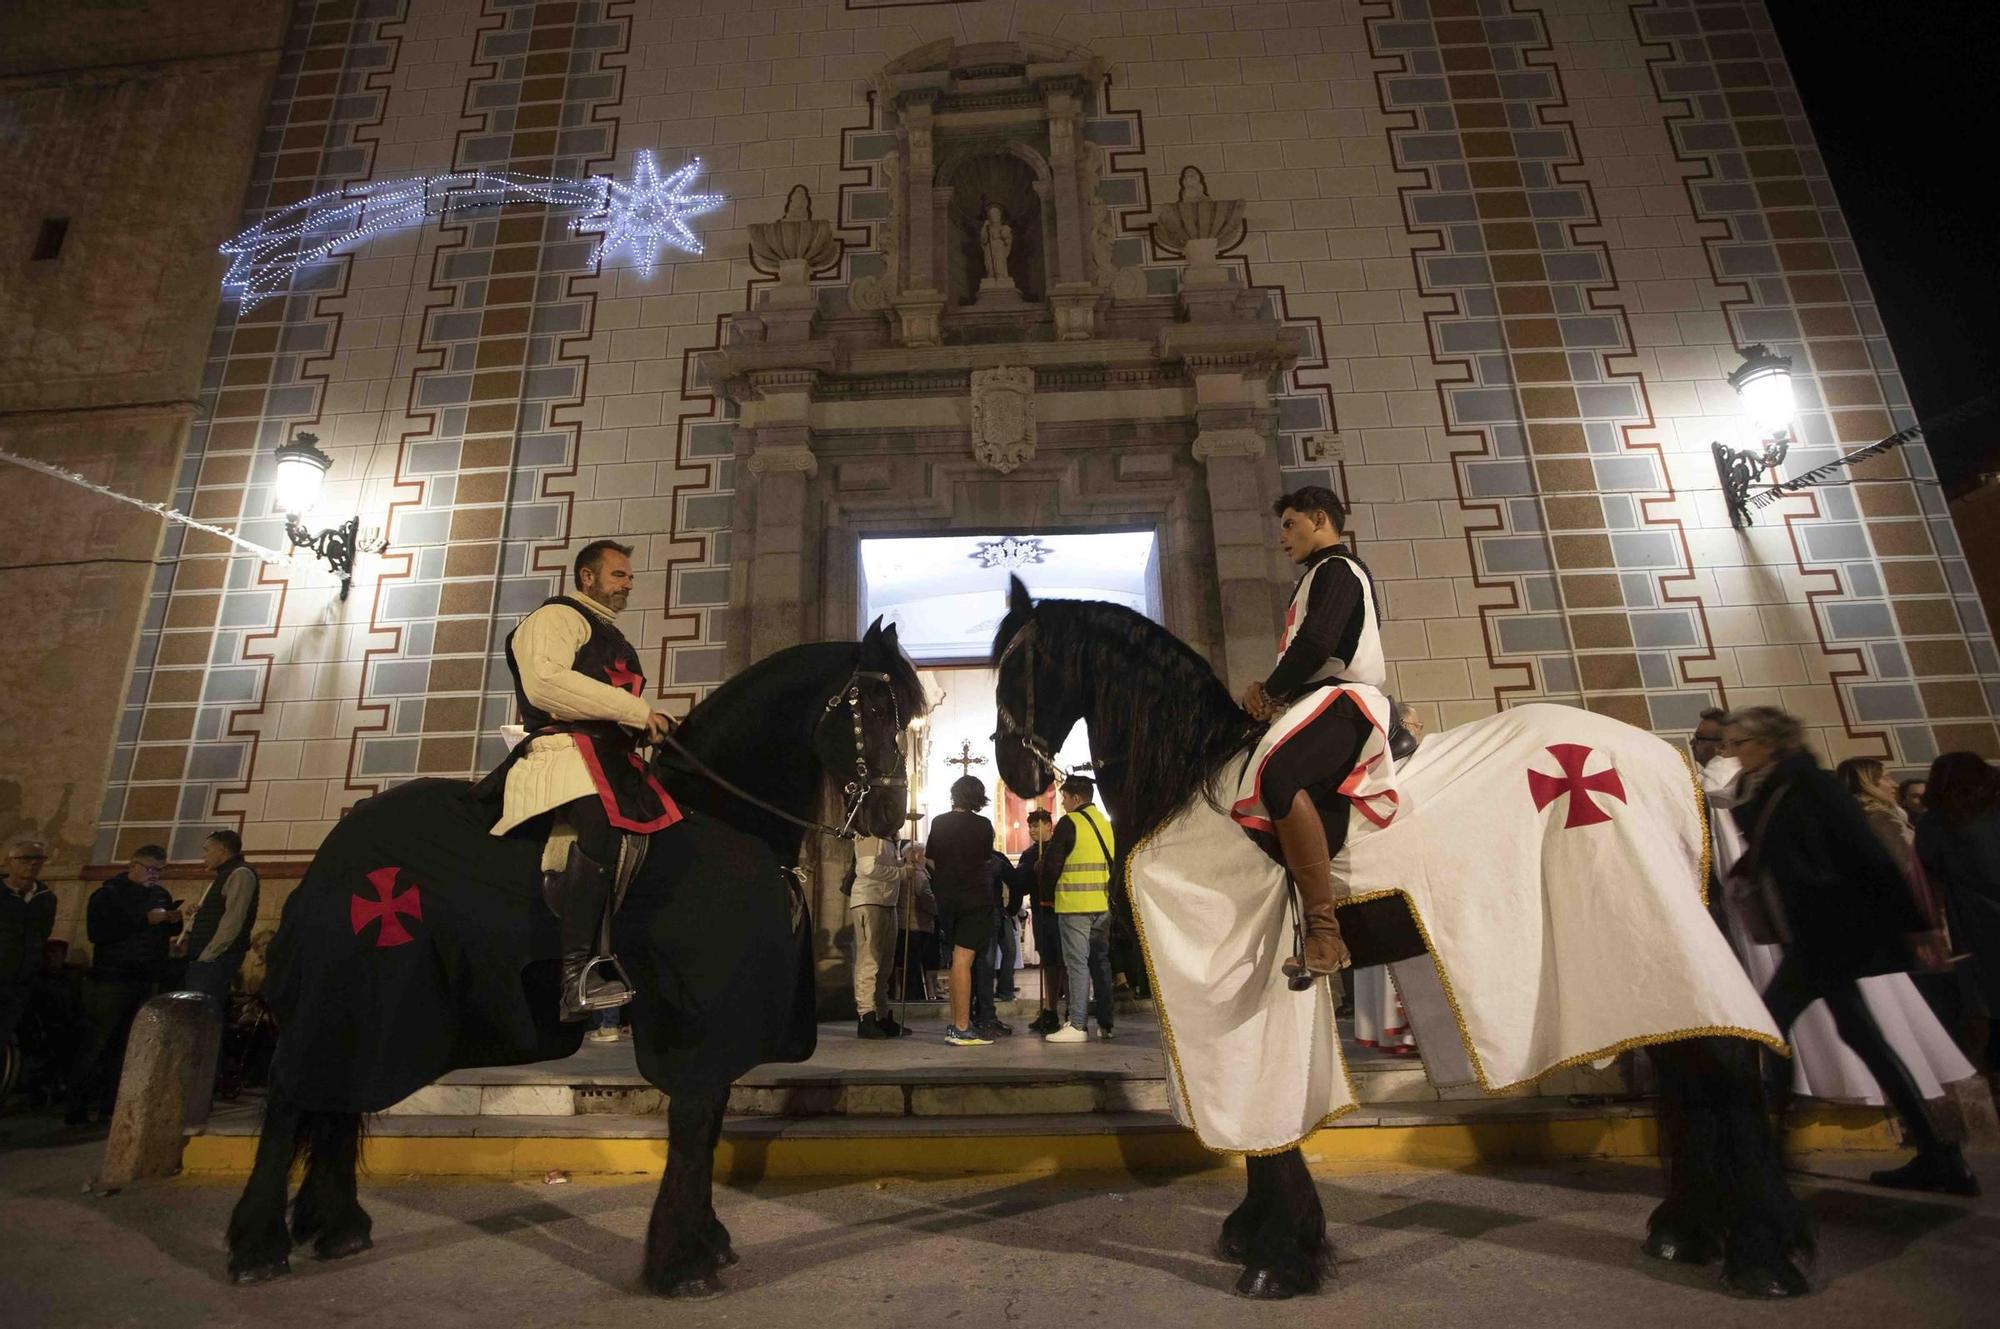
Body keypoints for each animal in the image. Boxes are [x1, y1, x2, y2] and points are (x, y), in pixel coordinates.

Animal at [230, 624, 924, 1296]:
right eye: (872, 705)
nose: (893, 816)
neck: (720, 818)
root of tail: (335, 843)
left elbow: (711, 1117)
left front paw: (705, 1242)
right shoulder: (696, 1016)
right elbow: (696, 1117)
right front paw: (682, 1263)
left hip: (372, 997)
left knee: (337, 1091)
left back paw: (338, 1226)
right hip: (343, 981)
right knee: (291, 1092)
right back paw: (257, 1247)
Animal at [992, 580, 1824, 1296]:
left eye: (1014, 666)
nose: (1010, 772)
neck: (1193, 779)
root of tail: (1677, 763)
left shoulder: (1230, 969)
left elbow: (1269, 1110)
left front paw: (1279, 1255)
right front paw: (1260, 1232)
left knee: (1721, 1062)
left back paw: (1762, 1256)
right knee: (1690, 1063)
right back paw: (1689, 1228)